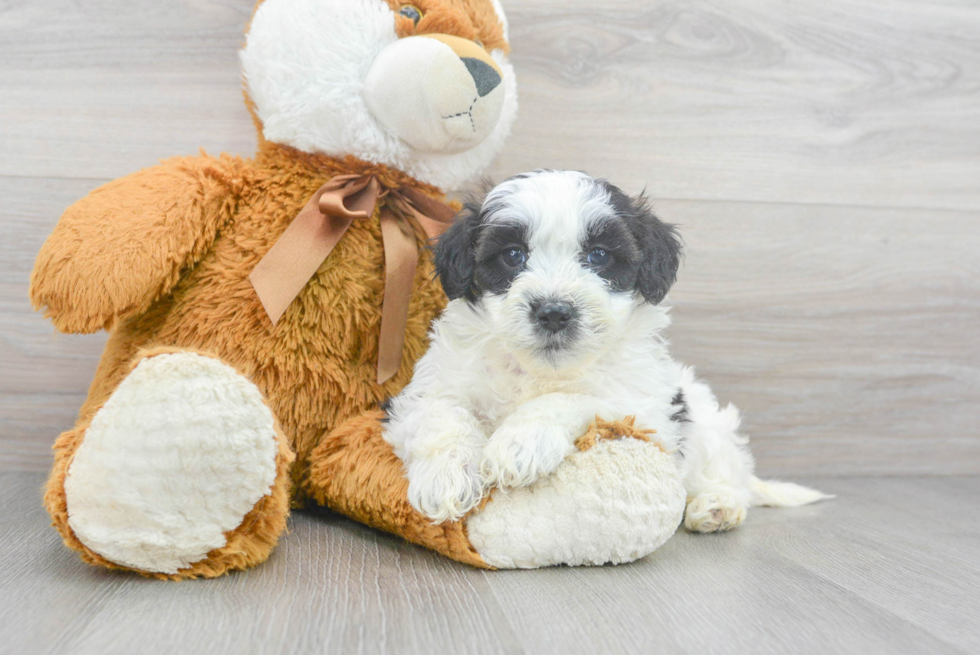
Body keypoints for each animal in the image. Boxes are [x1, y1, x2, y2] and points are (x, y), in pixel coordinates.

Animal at [382, 172, 828, 532]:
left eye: (598, 256)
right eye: (512, 255)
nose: (554, 311)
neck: (544, 369)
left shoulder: (642, 406)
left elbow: (574, 398)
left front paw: (521, 441)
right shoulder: (424, 390)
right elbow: (442, 415)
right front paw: (446, 476)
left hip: (707, 426)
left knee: (729, 475)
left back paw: (718, 506)